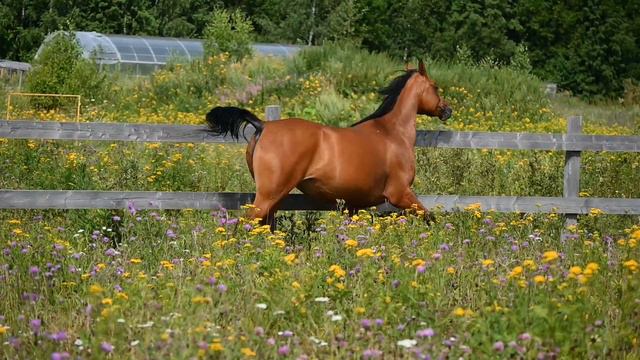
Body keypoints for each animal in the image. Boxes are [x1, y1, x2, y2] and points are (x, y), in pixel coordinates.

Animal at [205, 60, 450, 226]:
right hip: (268, 195)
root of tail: (263, 125)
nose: (447, 110)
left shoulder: (353, 204)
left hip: (272, 196)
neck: (391, 133)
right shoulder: (400, 193)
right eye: (436, 87)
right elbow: (430, 216)